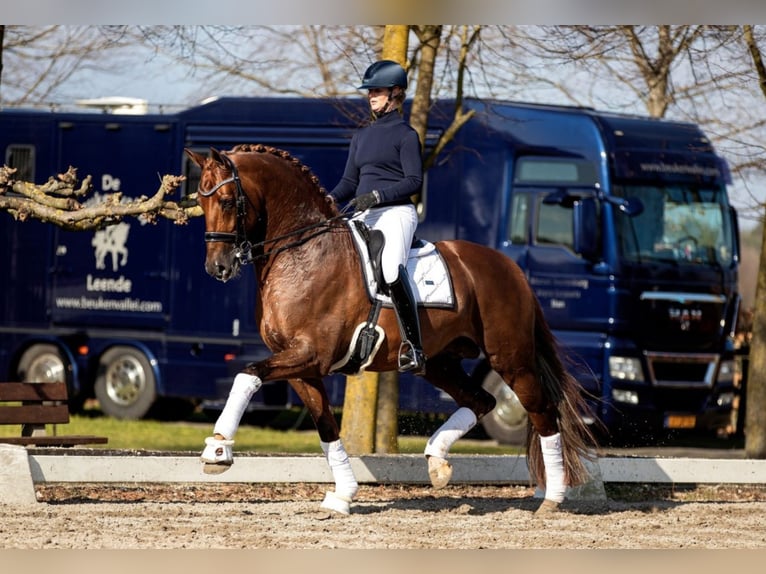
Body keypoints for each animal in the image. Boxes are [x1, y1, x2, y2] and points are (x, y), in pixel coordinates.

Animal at [188, 145, 600, 516]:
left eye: (226, 201)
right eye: (201, 203)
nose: (217, 267)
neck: (303, 253)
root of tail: (511, 268)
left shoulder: (311, 355)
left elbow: (247, 374)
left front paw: (218, 450)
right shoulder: (301, 366)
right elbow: (326, 428)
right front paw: (342, 497)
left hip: (511, 359)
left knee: (542, 411)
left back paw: (552, 498)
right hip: (440, 363)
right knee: (481, 401)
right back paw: (437, 460)